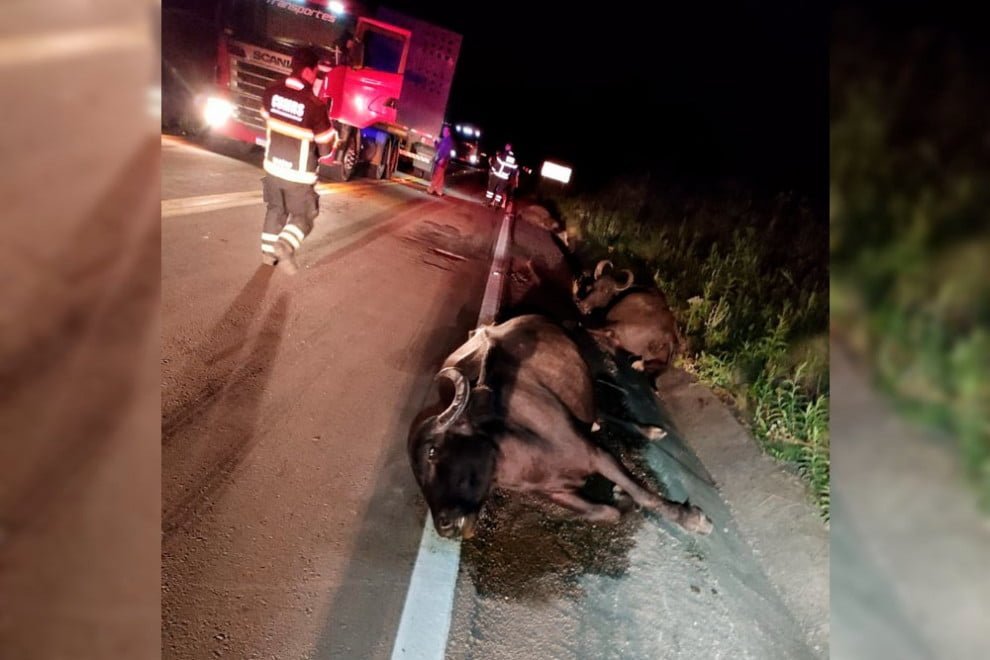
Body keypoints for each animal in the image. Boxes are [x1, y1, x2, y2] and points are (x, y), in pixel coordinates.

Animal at [404, 314, 712, 540]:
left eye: (432, 451)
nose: (443, 526)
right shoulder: (557, 492)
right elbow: (607, 513)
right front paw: (621, 499)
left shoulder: (598, 455)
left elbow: (643, 494)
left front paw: (692, 519)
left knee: (603, 410)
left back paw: (650, 430)